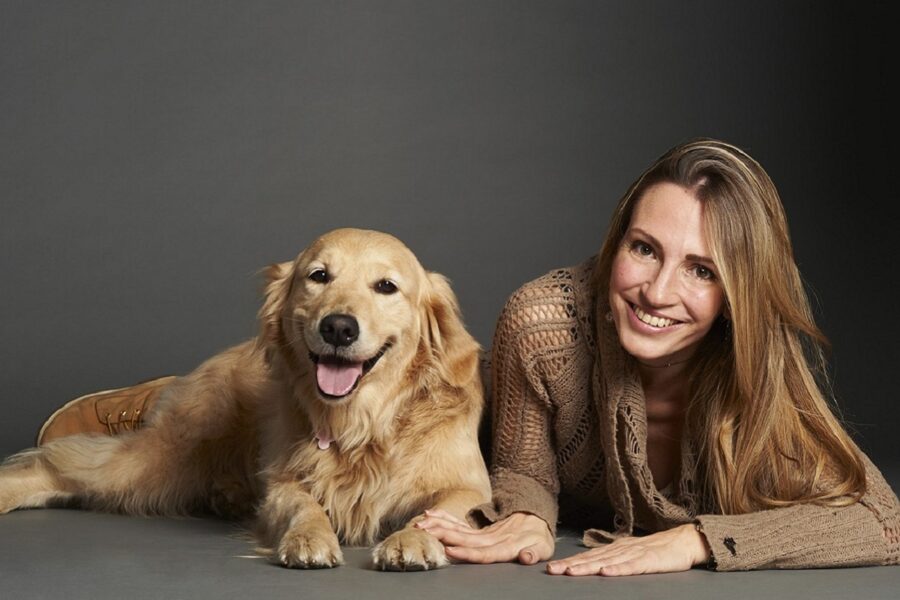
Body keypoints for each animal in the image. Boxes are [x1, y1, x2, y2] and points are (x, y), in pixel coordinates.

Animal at [0, 229, 488, 572]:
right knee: (57, 467)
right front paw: (309, 537)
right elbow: (303, 505)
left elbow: (441, 510)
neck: (364, 424)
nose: (338, 327)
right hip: (156, 461)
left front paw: (412, 539)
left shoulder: (472, 487)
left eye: (386, 286)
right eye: (319, 276)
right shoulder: (281, 482)